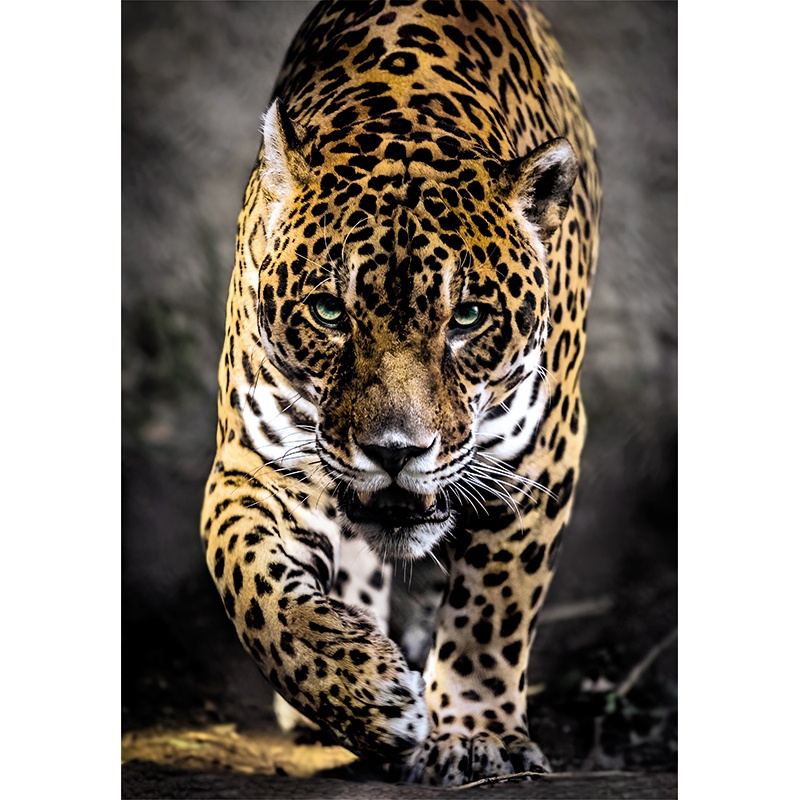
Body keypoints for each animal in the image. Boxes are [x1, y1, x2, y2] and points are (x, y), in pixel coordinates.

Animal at [201, 0, 600, 786]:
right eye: (330, 311)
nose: (394, 451)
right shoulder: (253, 462)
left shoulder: (541, 456)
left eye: (467, 317)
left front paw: (477, 736)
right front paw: (363, 694)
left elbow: (493, 607)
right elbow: (252, 584)